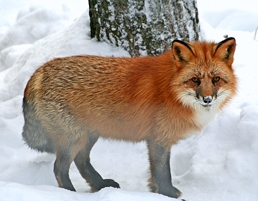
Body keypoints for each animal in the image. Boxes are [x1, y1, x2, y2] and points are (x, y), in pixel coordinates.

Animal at [23, 37, 237, 198]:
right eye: (195, 80)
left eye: (216, 79)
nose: (207, 99)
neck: (171, 90)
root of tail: (39, 72)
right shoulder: (158, 139)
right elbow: (162, 172)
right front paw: (167, 194)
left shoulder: (158, 139)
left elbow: (156, 174)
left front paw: (157, 192)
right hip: (73, 139)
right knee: (59, 168)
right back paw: (70, 193)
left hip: (88, 135)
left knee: (82, 162)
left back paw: (100, 184)